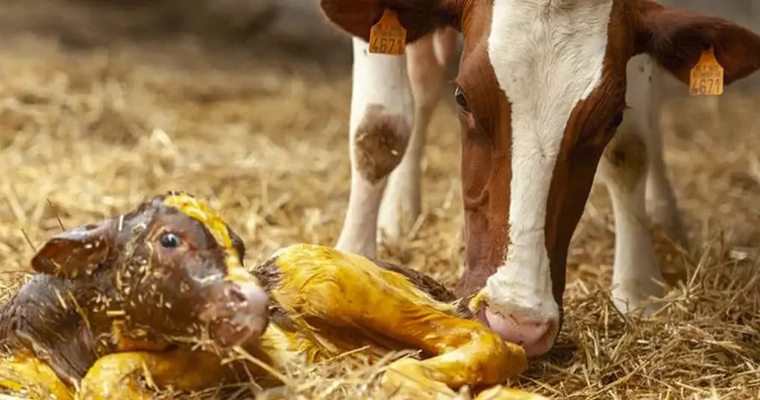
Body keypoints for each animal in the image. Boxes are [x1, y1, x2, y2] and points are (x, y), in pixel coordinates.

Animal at [320, 0, 760, 358]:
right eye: (463, 98)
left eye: (611, 118)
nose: (516, 325)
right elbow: (380, 129)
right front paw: (354, 257)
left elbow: (631, 149)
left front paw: (637, 289)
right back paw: (400, 212)